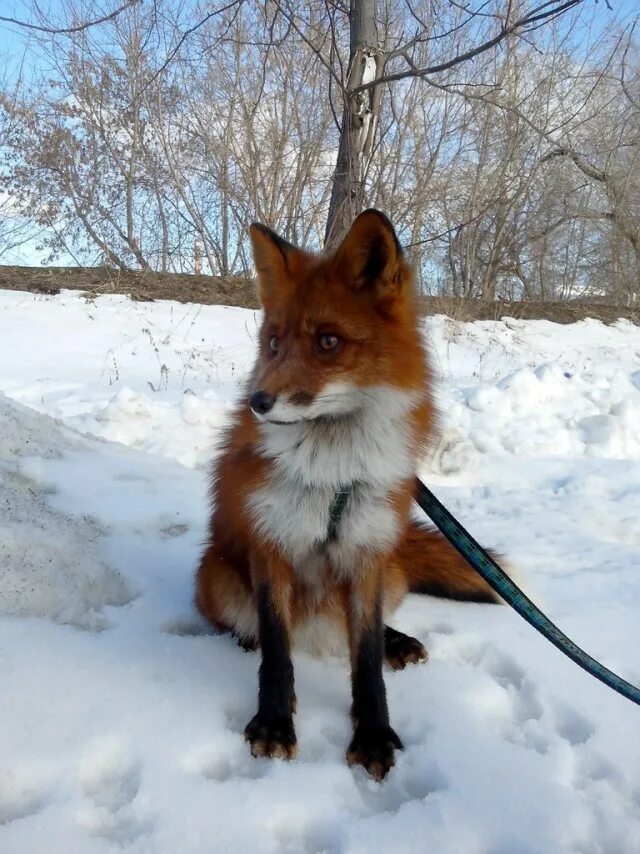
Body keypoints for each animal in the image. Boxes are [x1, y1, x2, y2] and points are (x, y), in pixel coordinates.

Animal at [198, 211, 498, 780]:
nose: (258, 402)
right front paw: (274, 725)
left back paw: (397, 641)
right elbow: (277, 653)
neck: (334, 471)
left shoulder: (365, 551)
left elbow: (365, 659)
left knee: (374, 625)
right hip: (216, 579)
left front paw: (374, 735)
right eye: (274, 342)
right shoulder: (272, 544)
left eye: (328, 342)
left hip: (389, 567)